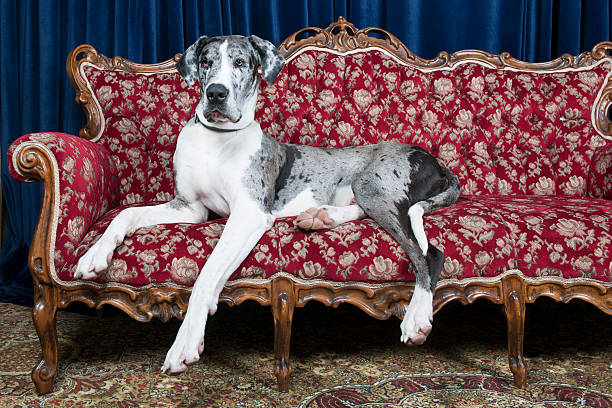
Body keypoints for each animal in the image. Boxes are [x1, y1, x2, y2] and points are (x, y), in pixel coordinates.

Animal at [73, 33, 460, 374]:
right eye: (205, 61)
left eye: (241, 63)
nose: (216, 93)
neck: (217, 140)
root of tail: (439, 163)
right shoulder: (189, 208)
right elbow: (127, 213)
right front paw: (94, 256)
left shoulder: (250, 214)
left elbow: (207, 272)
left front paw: (185, 341)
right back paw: (319, 217)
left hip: (373, 186)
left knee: (429, 254)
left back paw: (416, 318)